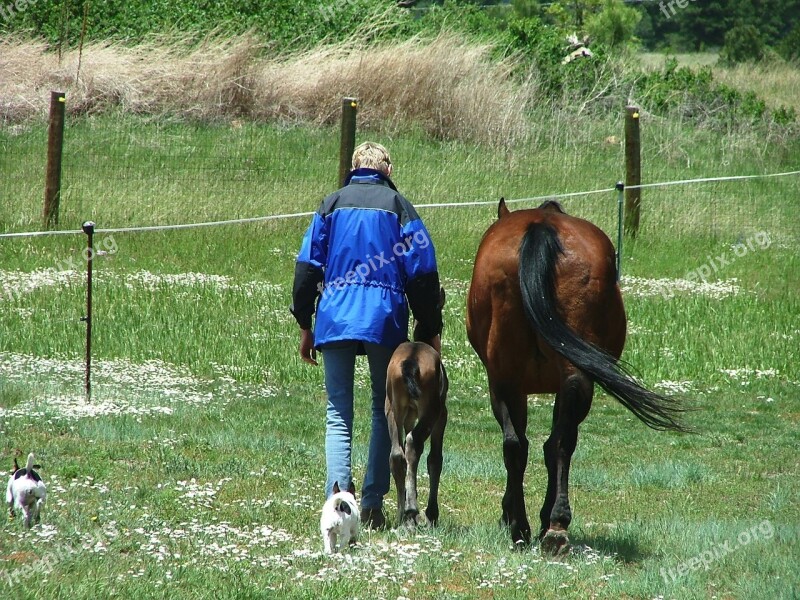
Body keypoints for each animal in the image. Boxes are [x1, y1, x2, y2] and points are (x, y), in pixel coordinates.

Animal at [384, 288, 446, 528]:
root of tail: (411, 360)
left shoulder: (409, 416)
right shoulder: (442, 416)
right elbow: (435, 460)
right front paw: (432, 513)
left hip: (392, 408)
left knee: (396, 454)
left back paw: (402, 514)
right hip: (430, 411)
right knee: (413, 444)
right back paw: (412, 510)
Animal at [466, 200, 684, 552]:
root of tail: (540, 227)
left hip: (507, 381)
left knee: (524, 444)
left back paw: (529, 526)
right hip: (551, 381)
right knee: (552, 443)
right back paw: (551, 526)